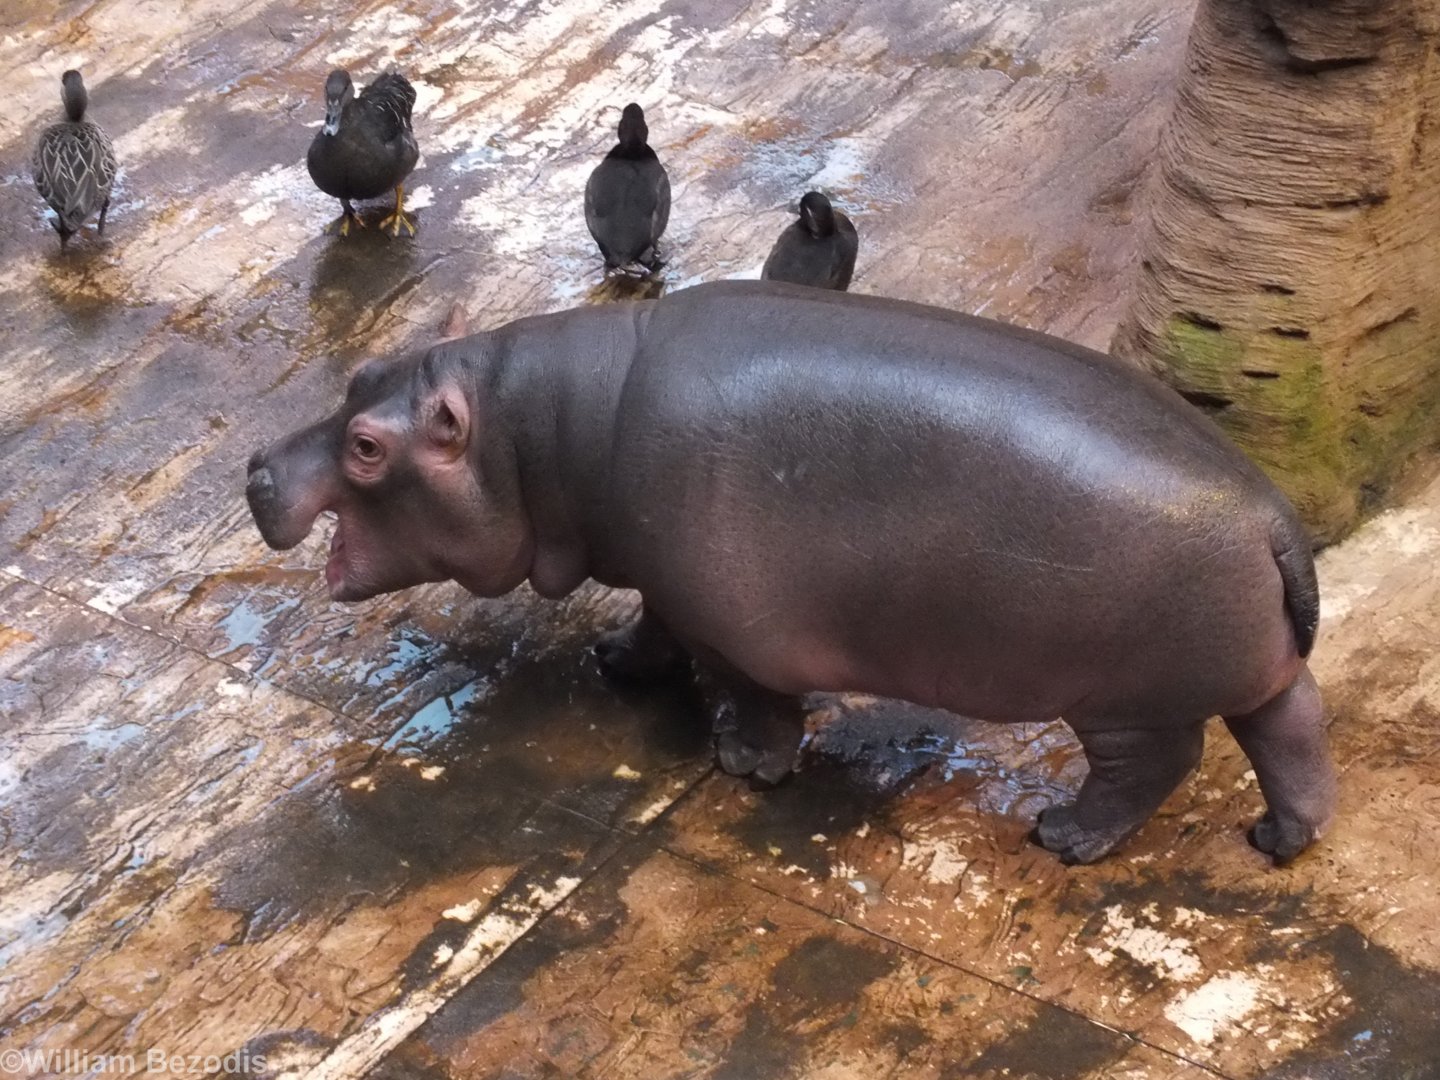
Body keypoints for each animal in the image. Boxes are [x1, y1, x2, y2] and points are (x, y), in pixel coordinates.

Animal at [246, 281, 1337, 865]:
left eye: (366, 448)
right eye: (357, 375)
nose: (254, 466)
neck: (543, 430)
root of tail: (1269, 513)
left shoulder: (735, 624)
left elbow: (750, 693)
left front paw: (744, 765)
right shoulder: (662, 576)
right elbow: (653, 622)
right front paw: (617, 661)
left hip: (1122, 699)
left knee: (1160, 763)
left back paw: (1062, 836)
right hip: (1248, 668)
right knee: (1290, 725)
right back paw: (1281, 840)